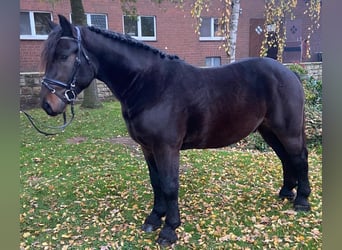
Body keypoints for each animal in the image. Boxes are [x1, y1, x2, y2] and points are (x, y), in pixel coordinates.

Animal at [39, 14, 310, 245]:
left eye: (64, 56)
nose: (47, 104)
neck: (150, 85)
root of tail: (290, 73)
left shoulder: (166, 147)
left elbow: (170, 185)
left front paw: (169, 229)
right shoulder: (148, 148)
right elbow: (156, 182)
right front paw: (153, 219)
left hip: (287, 131)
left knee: (299, 158)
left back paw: (302, 201)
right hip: (268, 130)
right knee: (286, 158)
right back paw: (287, 191)